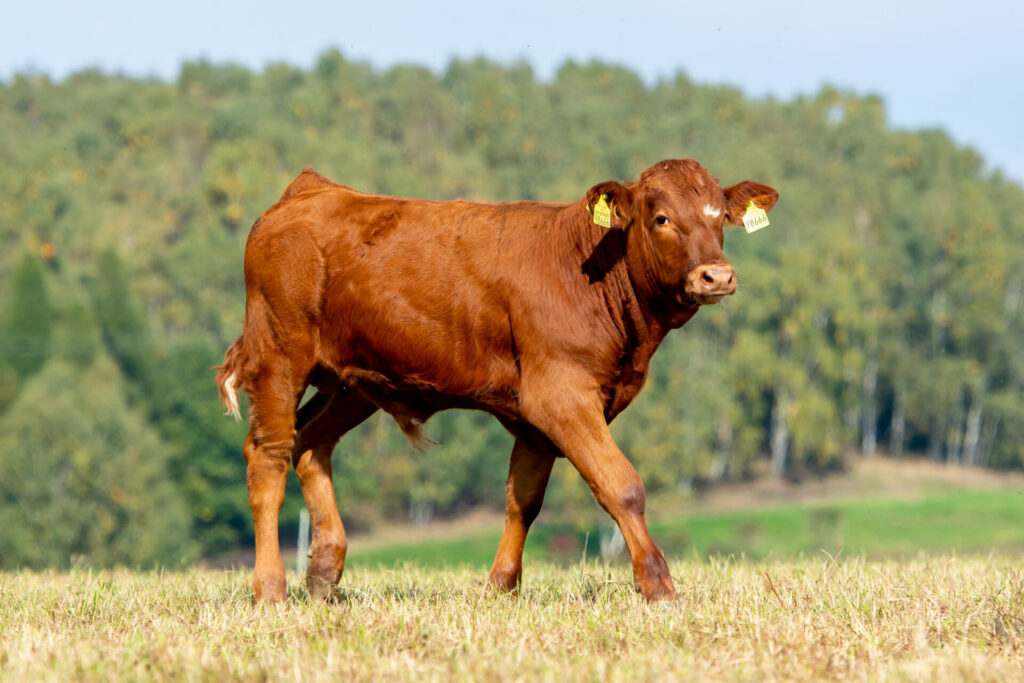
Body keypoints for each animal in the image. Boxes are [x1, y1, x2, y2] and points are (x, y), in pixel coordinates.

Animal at [216, 159, 778, 603]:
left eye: (719, 216)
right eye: (661, 217)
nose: (717, 275)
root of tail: (312, 190)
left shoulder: (537, 417)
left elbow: (522, 500)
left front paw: (501, 587)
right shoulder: (560, 395)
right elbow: (622, 486)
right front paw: (658, 585)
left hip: (352, 380)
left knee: (311, 441)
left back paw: (323, 573)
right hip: (278, 354)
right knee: (268, 454)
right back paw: (270, 589)